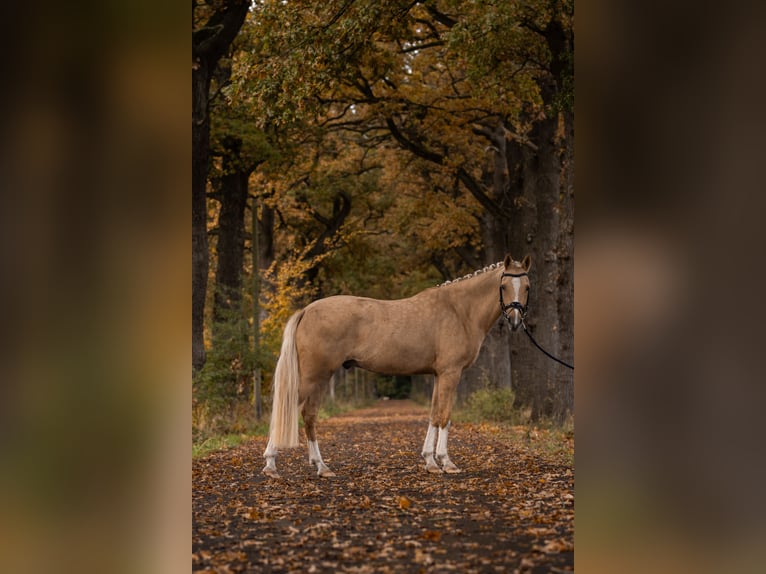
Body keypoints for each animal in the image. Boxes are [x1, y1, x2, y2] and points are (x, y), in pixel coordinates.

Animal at [262, 254, 531, 478]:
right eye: (504, 286)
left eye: (527, 287)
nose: (515, 321)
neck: (459, 311)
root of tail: (307, 310)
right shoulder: (450, 373)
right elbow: (445, 416)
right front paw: (446, 462)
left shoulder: (438, 375)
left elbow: (434, 415)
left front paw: (430, 461)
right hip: (313, 376)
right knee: (290, 409)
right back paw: (271, 465)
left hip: (320, 378)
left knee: (309, 415)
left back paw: (321, 466)